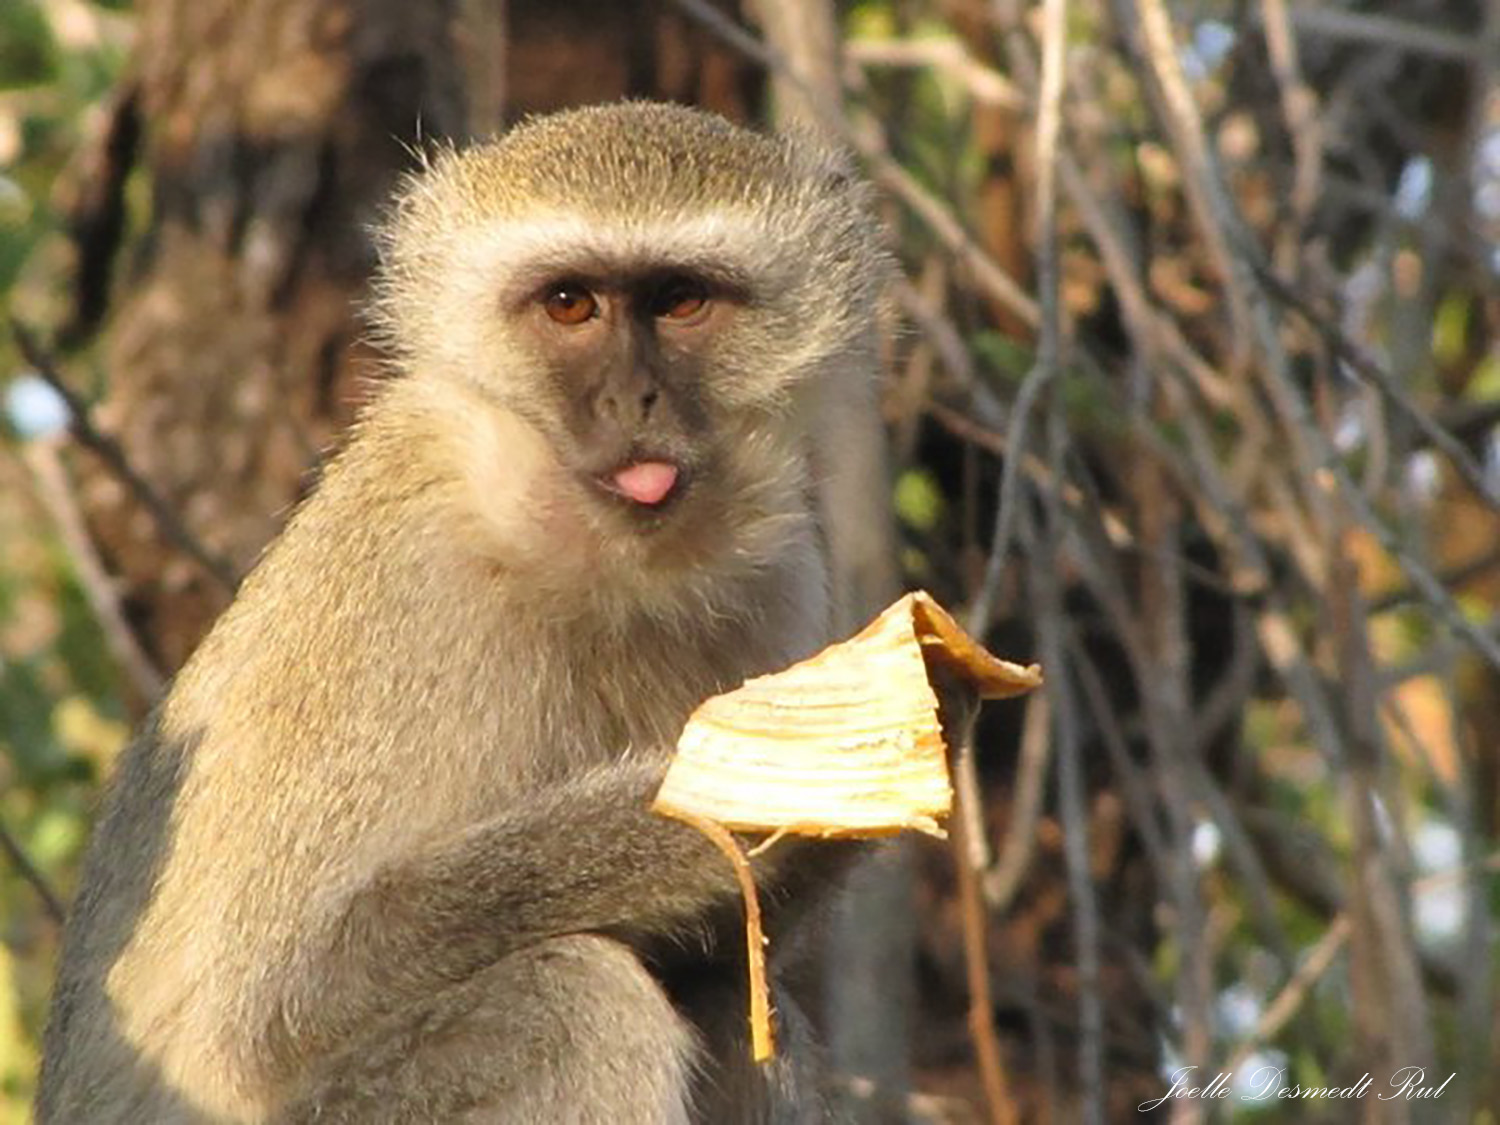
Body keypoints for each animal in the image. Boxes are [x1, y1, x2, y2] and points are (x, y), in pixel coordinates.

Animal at [36, 101, 896, 1123]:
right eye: (569, 304)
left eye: (682, 299)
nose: (633, 398)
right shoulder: (401, 579)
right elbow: (276, 1000)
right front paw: (720, 800)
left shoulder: (779, 576)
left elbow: (745, 953)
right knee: (577, 1001)